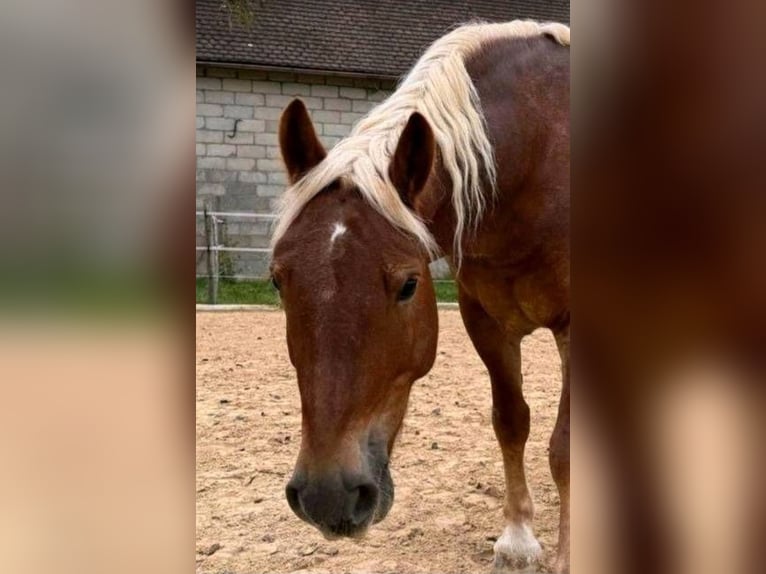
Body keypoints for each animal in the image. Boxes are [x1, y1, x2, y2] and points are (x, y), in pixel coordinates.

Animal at [270, 20, 568, 572]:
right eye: (279, 280)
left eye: (409, 283)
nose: (328, 496)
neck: (541, 153)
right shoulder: (486, 323)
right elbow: (511, 422)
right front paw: (518, 539)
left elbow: (563, 447)